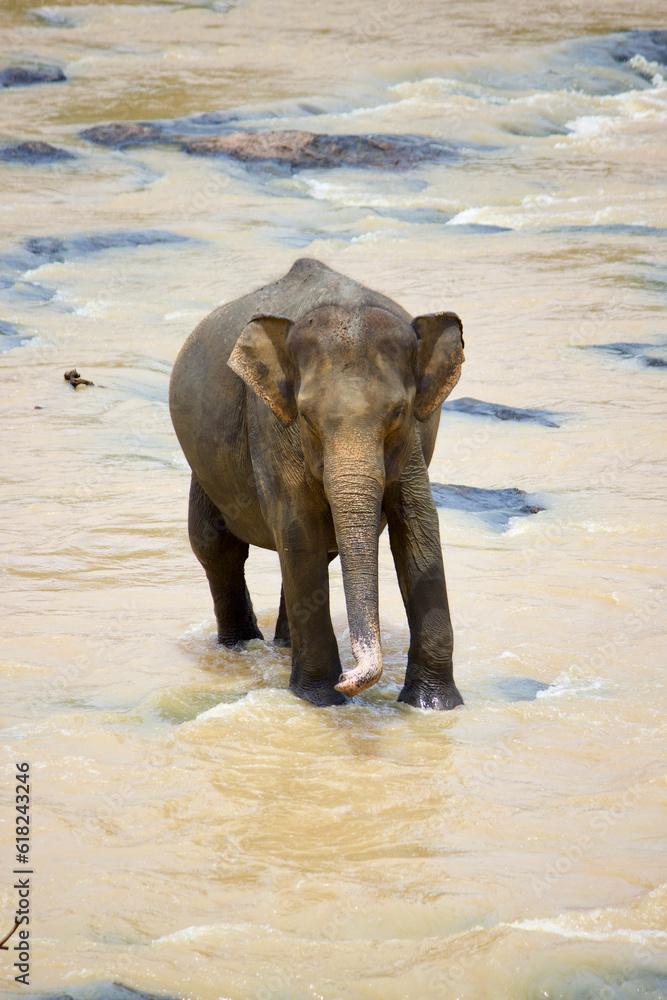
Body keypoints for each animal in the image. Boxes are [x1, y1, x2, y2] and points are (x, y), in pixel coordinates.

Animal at [169, 258, 465, 709]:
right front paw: (322, 699)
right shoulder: (270, 423)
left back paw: (283, 646)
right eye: (307, 416)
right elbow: (298, 526)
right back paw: (240, 646)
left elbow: (418, 525)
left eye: (399, 411)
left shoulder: (411, 442)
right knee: (216, 546)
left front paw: (434, 704)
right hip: (205, 467)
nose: (349, 678)